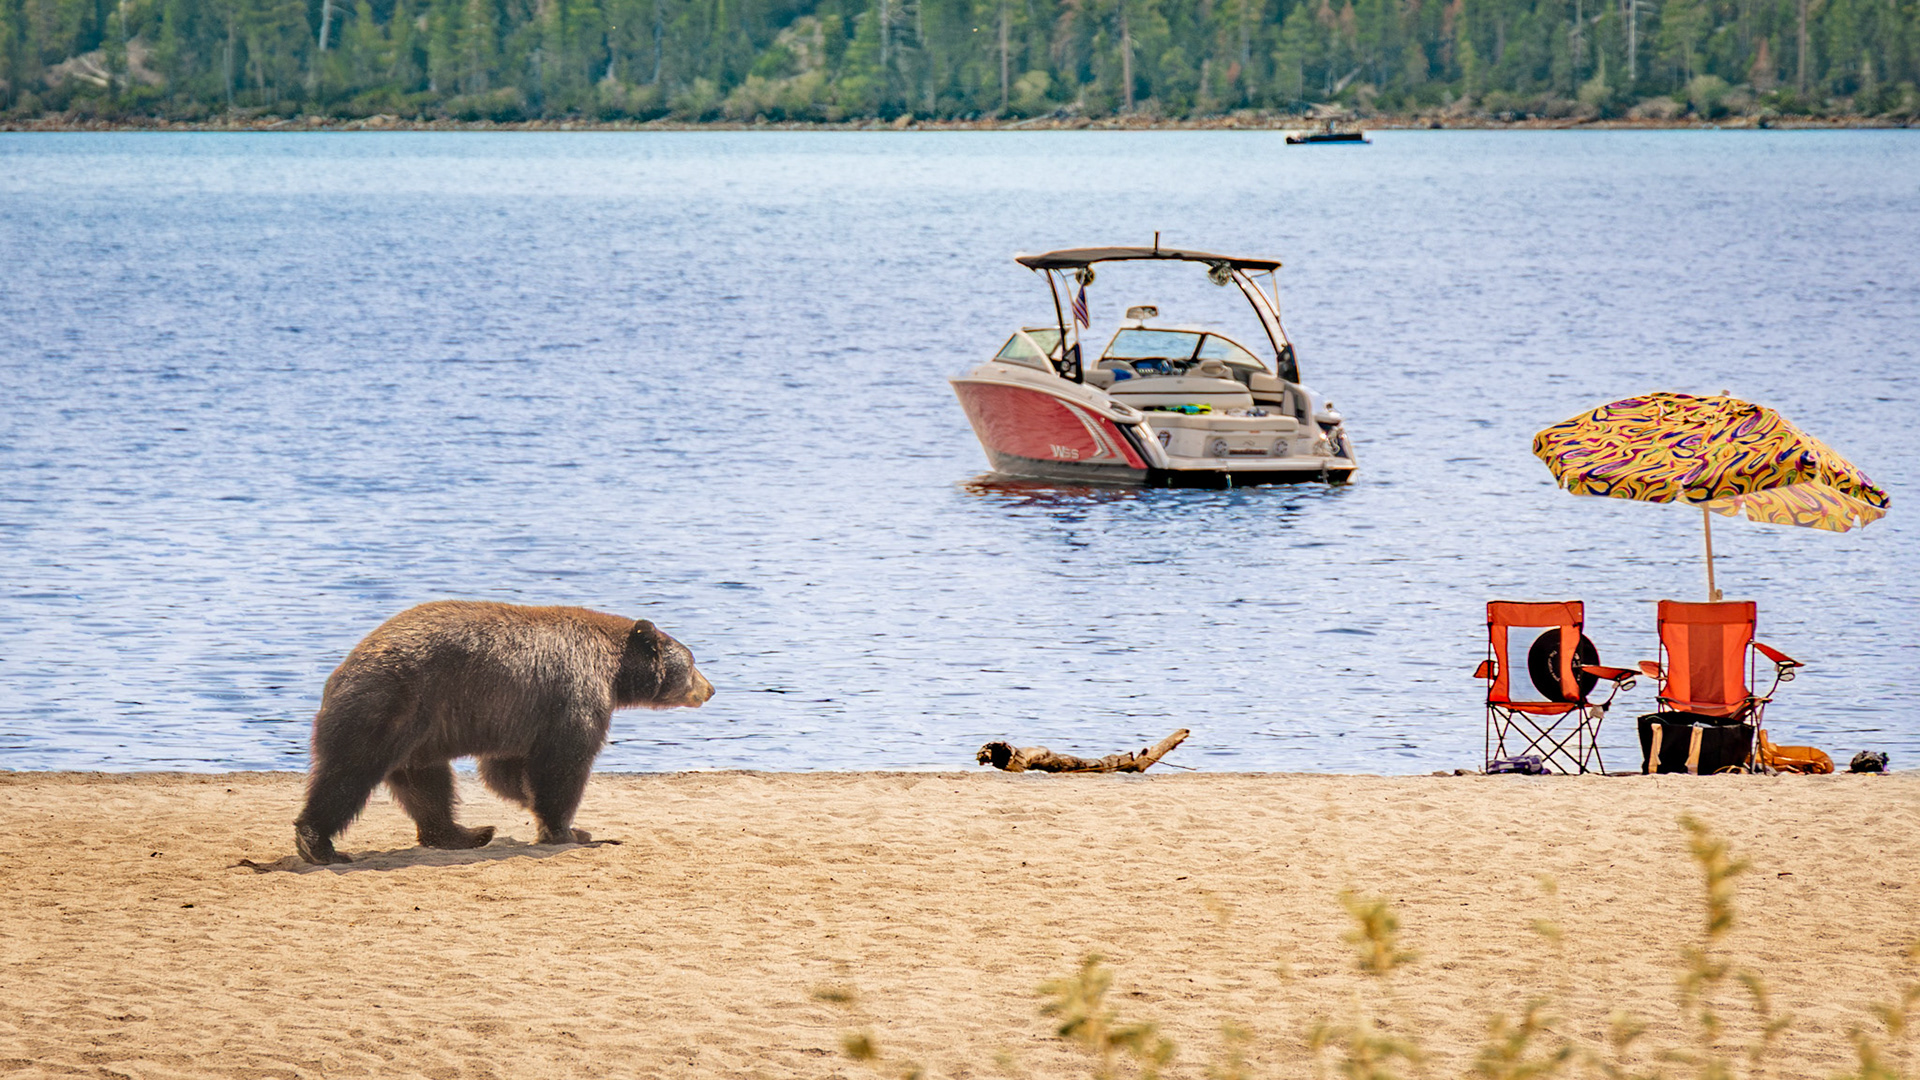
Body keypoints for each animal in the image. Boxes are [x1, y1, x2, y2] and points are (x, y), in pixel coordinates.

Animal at [293, 601, 713, 865]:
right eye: (693, 661)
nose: (710, 688)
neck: (615, 671)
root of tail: (339, 673)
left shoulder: (519, 715)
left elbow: (506, 770)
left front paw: (531, 802)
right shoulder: (574, 693)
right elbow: (564, 763)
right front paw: (569, 830)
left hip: (418, 727)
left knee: (426, 784)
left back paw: (465, 833)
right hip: (388, 704)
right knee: (350, 773)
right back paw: (319, 844)